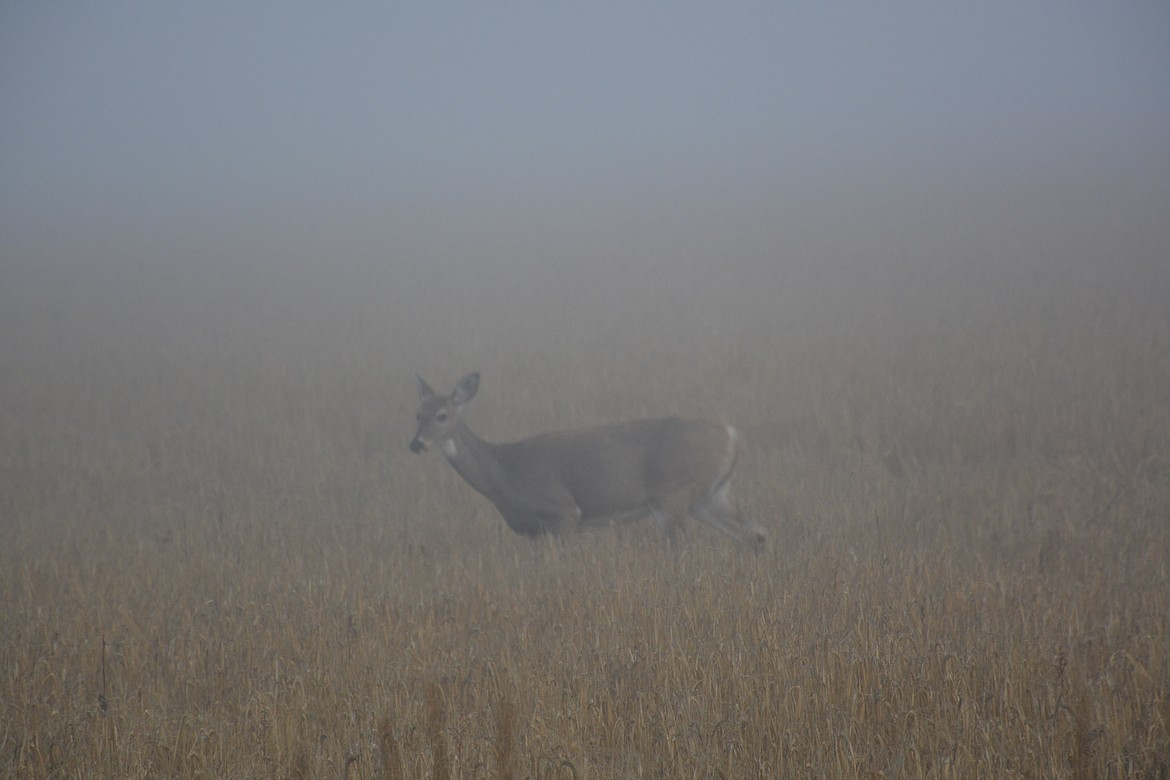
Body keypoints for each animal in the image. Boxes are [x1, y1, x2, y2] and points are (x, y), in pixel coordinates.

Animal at [411, 374, 767, 549]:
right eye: (416, 414)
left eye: (442, 416)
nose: (416, 444)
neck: (504, 471)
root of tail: (731, 435)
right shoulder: (532, 532)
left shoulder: (563, 514)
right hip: (708, 496)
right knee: (754, 532)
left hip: (673, 495)